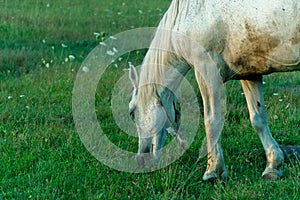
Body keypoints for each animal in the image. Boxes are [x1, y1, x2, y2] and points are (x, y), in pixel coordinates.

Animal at [127, 0, 298, 181]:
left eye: (132, 113)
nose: (141, 159)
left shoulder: (207, 71)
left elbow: (211, 120)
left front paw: (213, 171)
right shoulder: (249, 73)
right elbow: (258, 119)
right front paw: (273, 166)